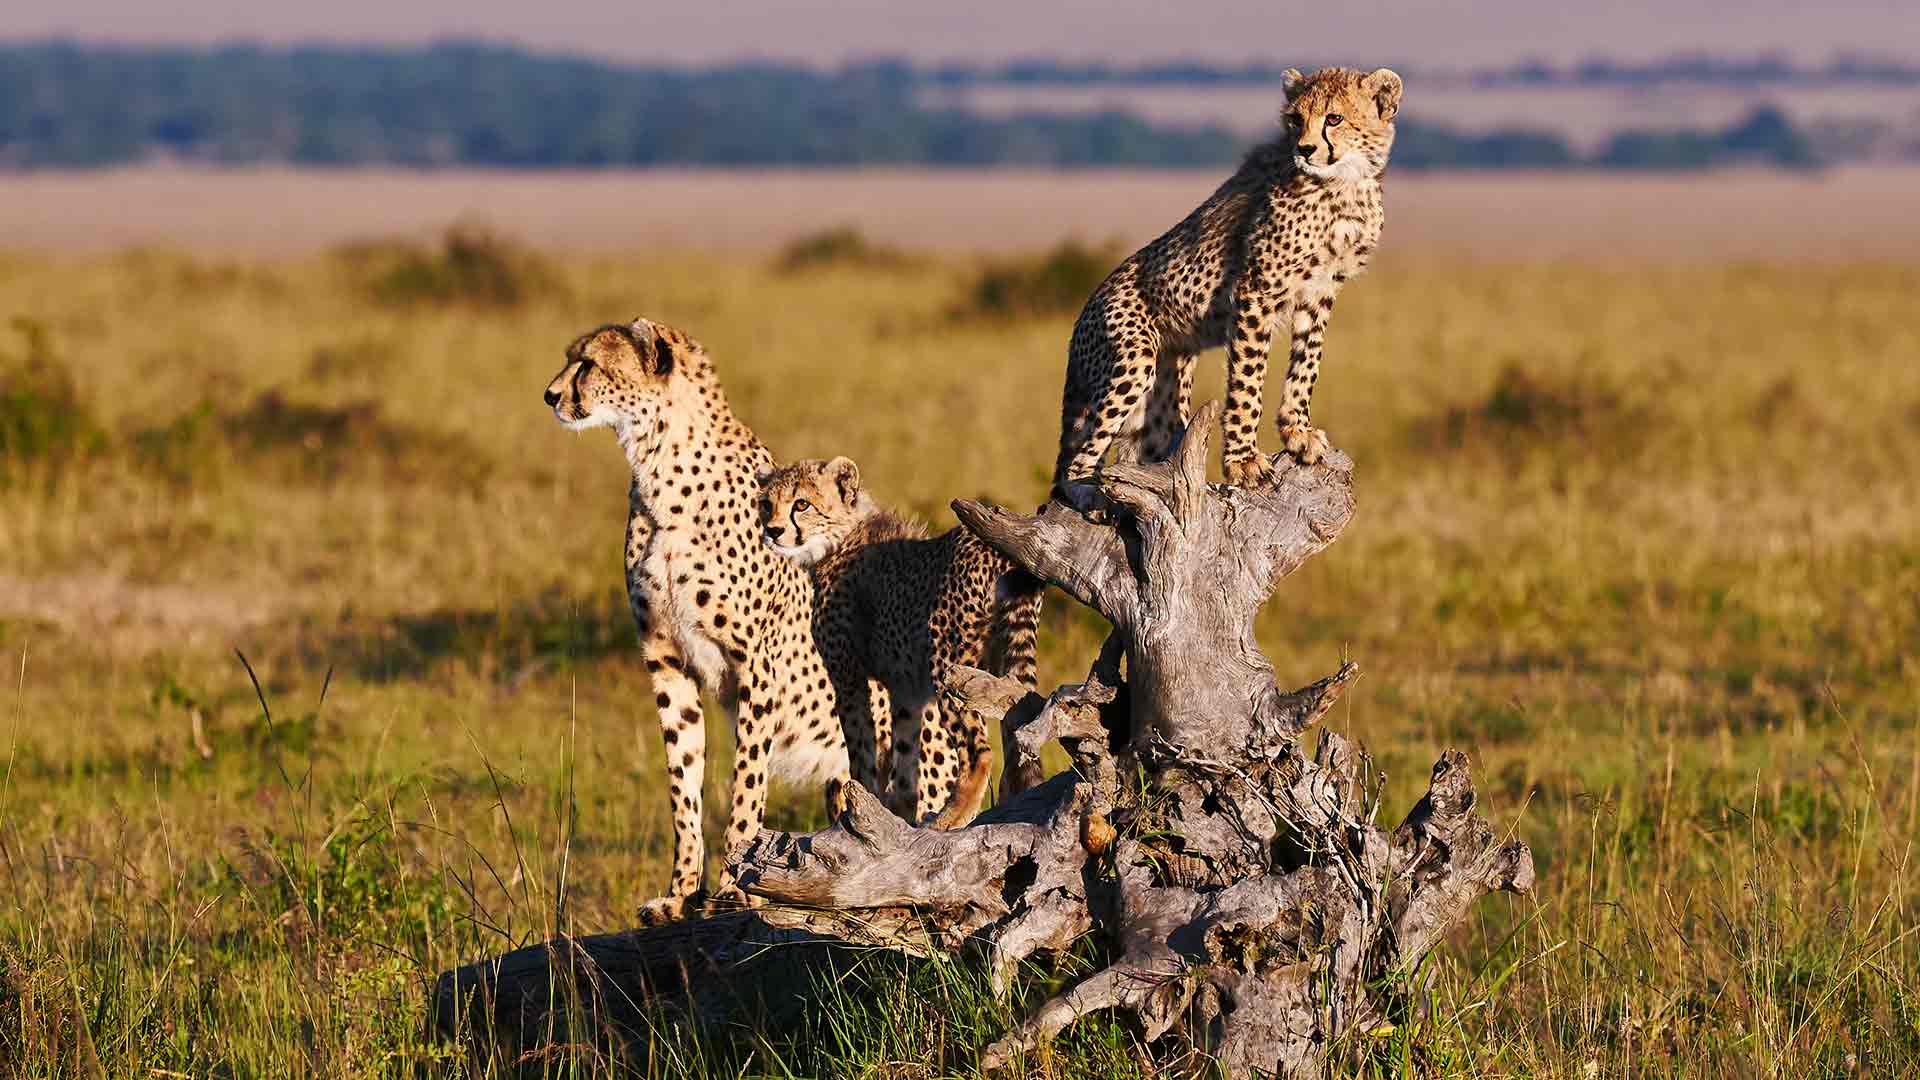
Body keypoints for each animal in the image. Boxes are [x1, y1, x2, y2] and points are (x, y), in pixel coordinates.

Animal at [537, 315, 844, 922]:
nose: (551, 395)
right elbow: (684, 782)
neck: (659, 464)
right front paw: (680, 892)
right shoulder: (664, 657)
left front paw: (733, 887)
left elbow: (746, 784)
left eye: (588, 363)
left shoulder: (756, 665)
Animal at [756, 455, 1044, 822]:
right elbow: (905, 760)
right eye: (767, 504)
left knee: (979, 750)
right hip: (1003, 663)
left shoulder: (849, 676)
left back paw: (950, 818)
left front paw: (859, 805)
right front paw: (899, 814)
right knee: (1016, 738)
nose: (773, 531)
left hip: (949, 665)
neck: (838, 538)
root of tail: (992, 547)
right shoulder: (905, 687)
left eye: (801, 504)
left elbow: (860, 750)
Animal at [1059, 67, 1405, 503]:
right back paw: (1088, 496)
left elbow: (1307, 363)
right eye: (1295, 119)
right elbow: (1247, 380)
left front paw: (1297, 431)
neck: (1345, 185)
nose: (1305, 149)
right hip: (1133, 359)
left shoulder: (1321, 291)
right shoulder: (1256, 291)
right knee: (1080, 459)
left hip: (1161, 396)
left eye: (1334, 118)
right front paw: (1243, 461)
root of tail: (1080, 318)